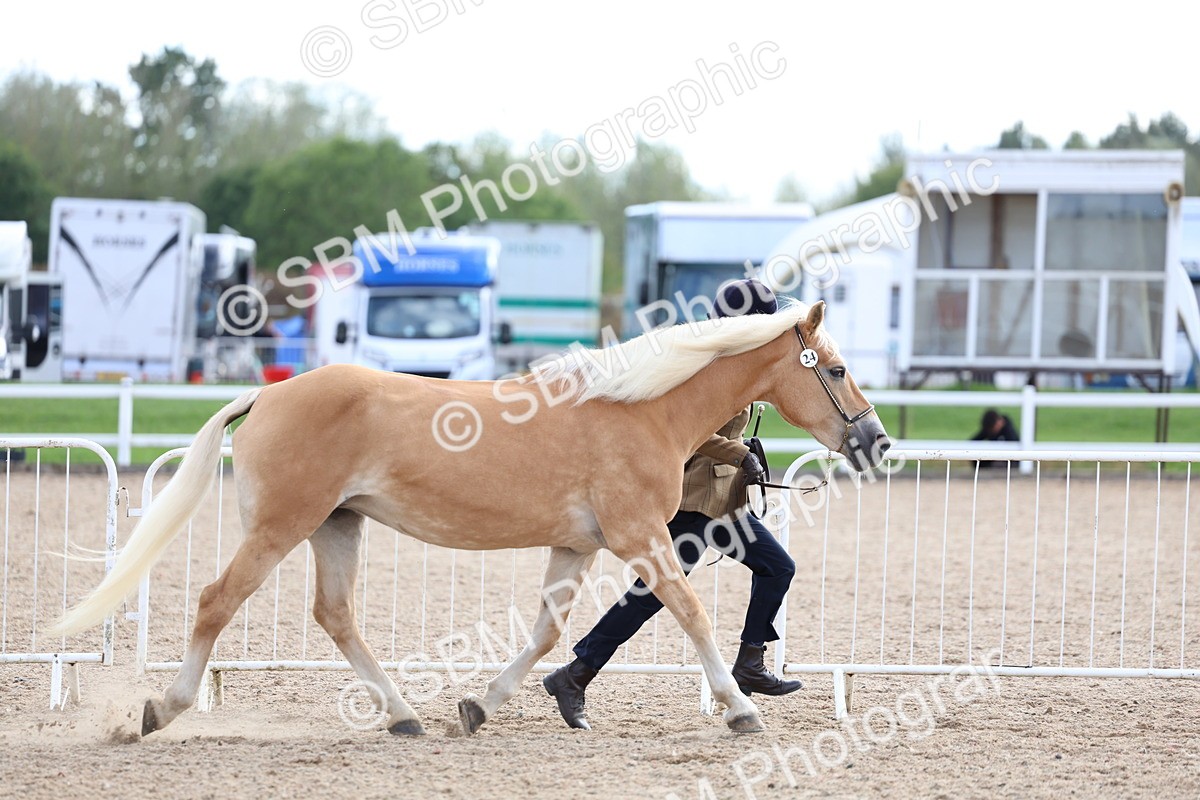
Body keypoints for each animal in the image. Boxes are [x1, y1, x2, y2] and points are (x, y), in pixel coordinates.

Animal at [54, 299, 889, 737]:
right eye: (839, 369)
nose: (876, 441)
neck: (639, 410)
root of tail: (269, 392)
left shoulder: (577, 547)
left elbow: (550, 633)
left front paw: (483, 704)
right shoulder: (641, 541)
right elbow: (689, 614)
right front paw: (742, 707)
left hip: (337, 526)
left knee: (336, 615)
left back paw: (402, 716)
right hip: (280, 529)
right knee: (216, 602)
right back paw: (162, 708)